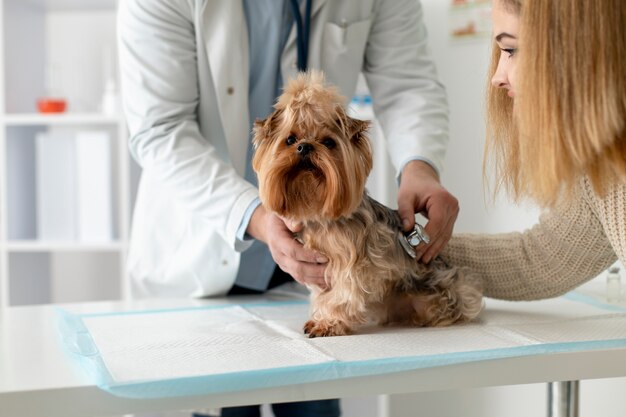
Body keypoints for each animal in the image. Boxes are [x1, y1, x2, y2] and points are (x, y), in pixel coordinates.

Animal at [251, 71, 480, 336]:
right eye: (290, 139)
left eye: (328, 142)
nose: (305, 146)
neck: (322, 216)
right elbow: (323, 295)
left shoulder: (349, 265)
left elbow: (342, 294)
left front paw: (328, 322)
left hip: (435, 289)